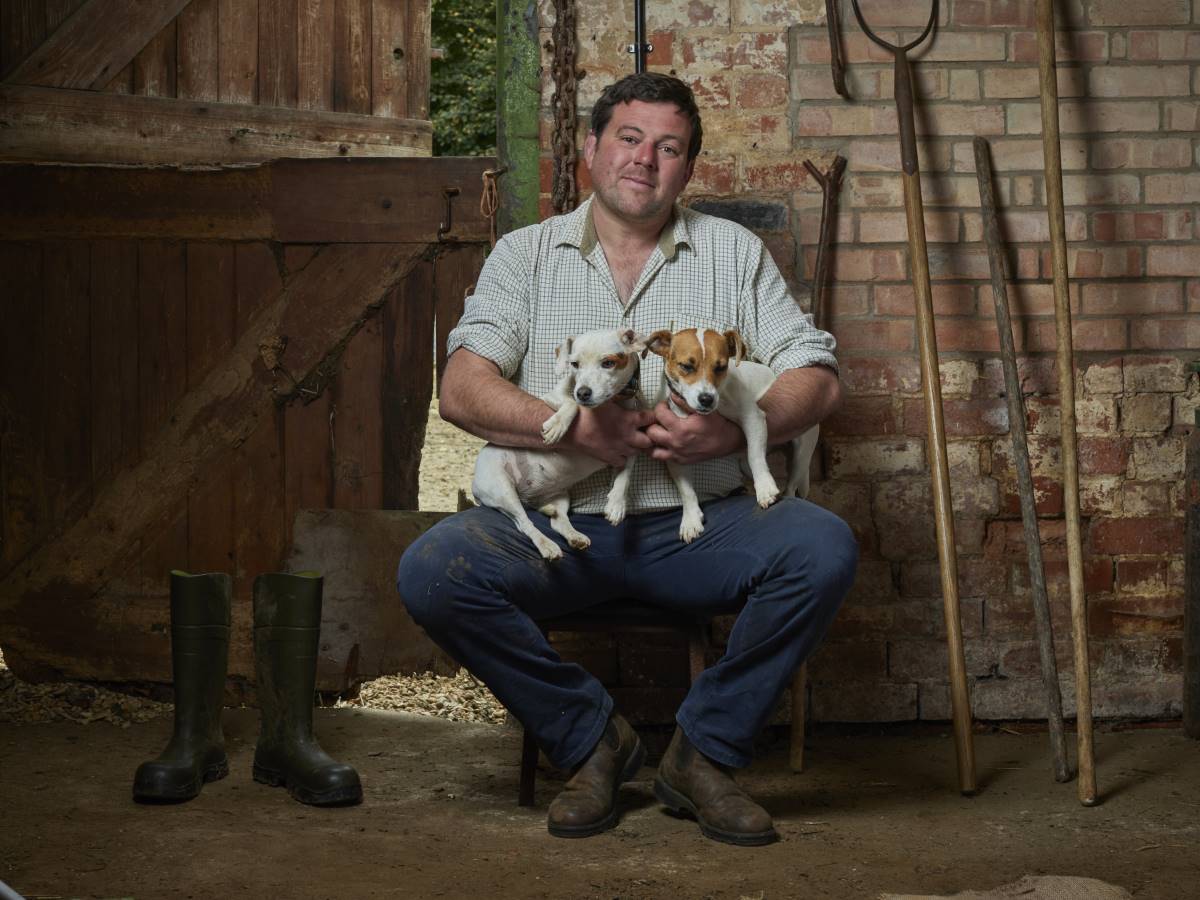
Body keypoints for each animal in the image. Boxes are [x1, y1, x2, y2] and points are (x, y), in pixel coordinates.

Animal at [472, 328, 652, 561]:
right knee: (525, 524)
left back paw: (575, 537)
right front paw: (557, 425)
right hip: (502, 491)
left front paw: (616, 504)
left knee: (558, 521)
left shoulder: (629, 446)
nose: (583, 392)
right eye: (574, 364)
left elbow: (625, 477)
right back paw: (547, 546)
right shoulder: (552, 397)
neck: (610, 404)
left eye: (608, 363)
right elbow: (571, 404)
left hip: (560, 497)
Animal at [648, 328, 825, 547]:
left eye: (721, 367)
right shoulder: (673, 449)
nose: (707, 399)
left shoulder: (753, 418)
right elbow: (686, 491)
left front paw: (765, 488)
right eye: (686, 366)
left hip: (801, 453)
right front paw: (690, 520)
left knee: (792, 485)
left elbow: (755, 455)